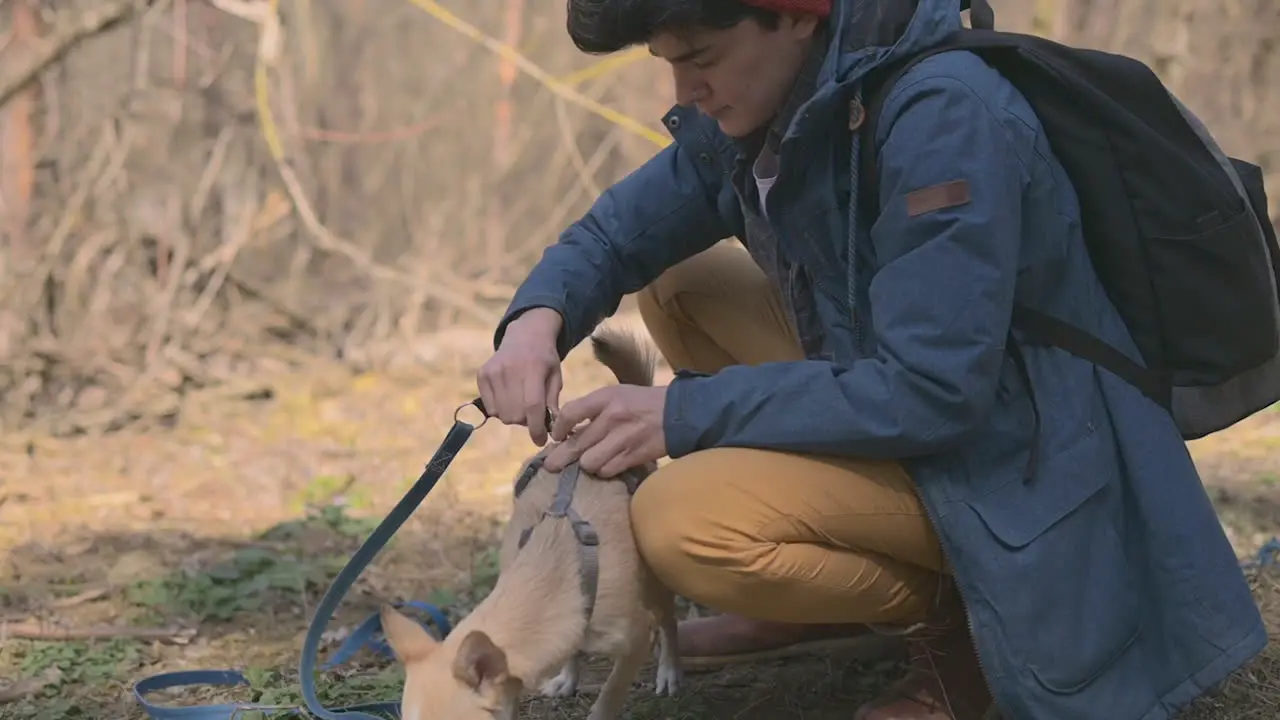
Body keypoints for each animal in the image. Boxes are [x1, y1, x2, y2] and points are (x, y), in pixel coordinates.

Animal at [378, 326, 680, 717]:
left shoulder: (636, 637)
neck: (557, 572)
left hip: (656, 580)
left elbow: (609, 695)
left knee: (669, 618)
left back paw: (670, 670)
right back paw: (568, 677)